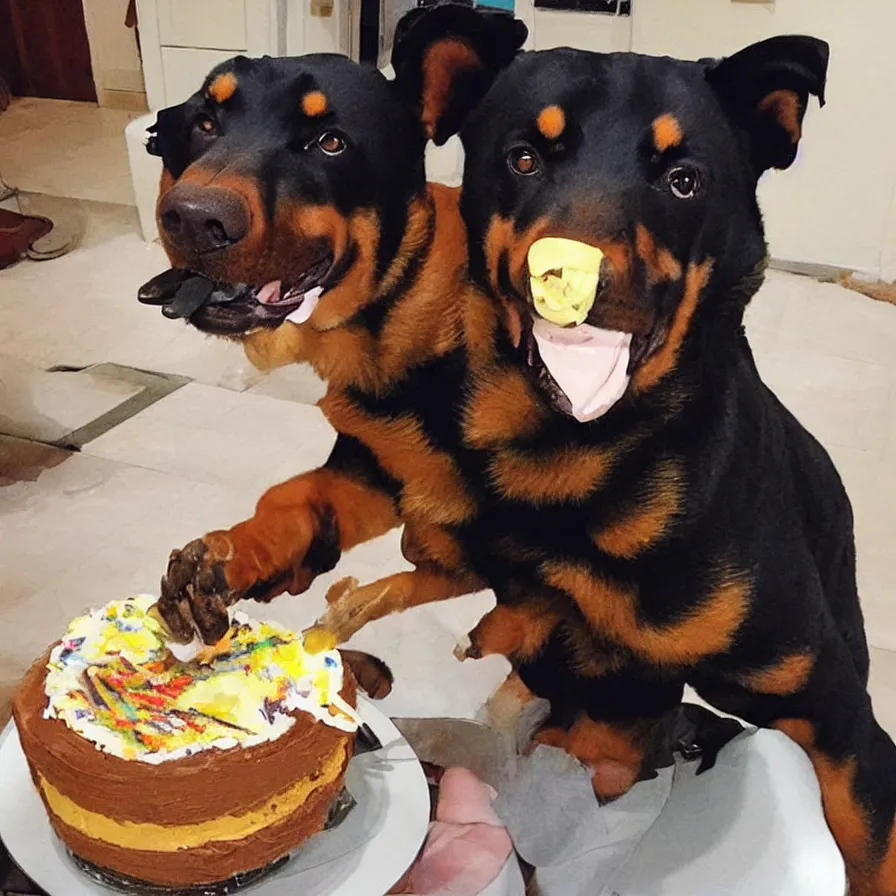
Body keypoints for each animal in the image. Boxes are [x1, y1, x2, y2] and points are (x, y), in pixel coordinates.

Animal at [142, 8, 896, 896]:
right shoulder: (400, 475)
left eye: (685, 180)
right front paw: (231, 560)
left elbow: (870, 843)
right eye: (523, 158)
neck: (578, 446)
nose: (192, 218)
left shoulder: (840, 720)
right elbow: (308, 499)